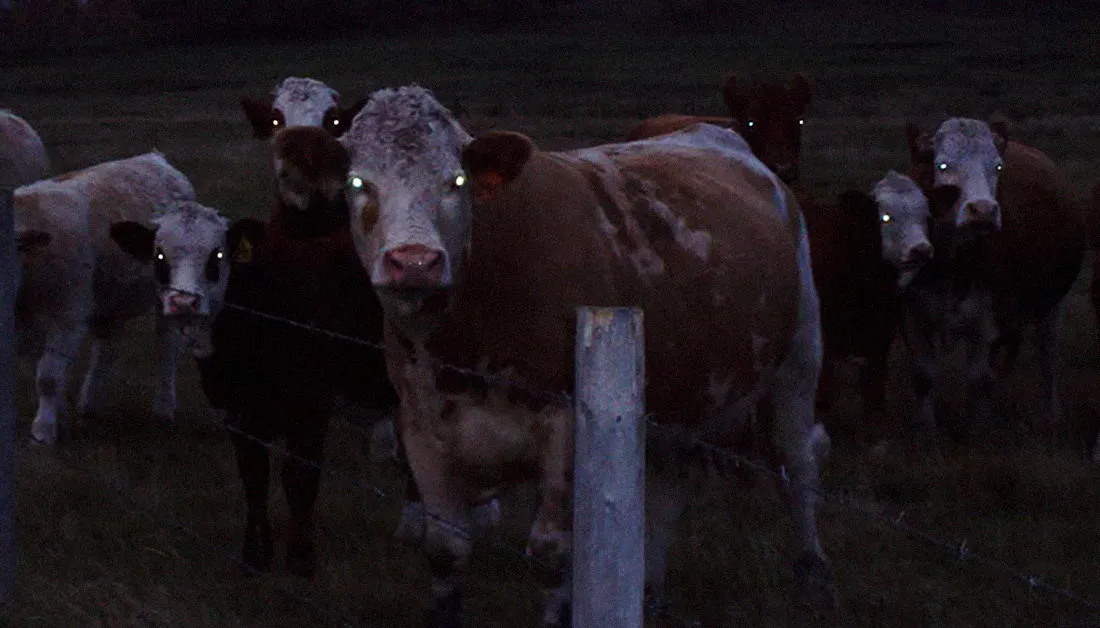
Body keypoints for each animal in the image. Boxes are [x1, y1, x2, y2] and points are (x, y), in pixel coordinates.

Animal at [13, 152, 196, 445]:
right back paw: (89, 404)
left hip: (167, 292)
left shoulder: (68, 315)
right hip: (111, 300)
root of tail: (155, 158)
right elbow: (44, 371)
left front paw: (43, 430)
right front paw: (60, 416)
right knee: (108, 349)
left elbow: (48, 377)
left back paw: (164, 408)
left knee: (167, 346)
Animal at [340, 86, 834, 626]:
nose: (414, 262)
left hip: (799, 358)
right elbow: (446, 550)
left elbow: (552, 555)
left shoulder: (566, 428)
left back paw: (811, 569)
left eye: (457, 181)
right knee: (671, 483)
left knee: (799, 464)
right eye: (359, 182)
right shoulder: (422, 428)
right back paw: (651, 592)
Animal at [902, 118, 1083, 435]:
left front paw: (977, 429)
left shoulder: (989, 318)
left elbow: (979, 377)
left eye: (998, 166)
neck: (954, 265)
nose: (983, 210)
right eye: (942, 165)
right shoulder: (913, 315)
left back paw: (1051, 414)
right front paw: (925, 428)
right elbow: (924, 374)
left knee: (1047, 356)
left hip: (1051, 306)